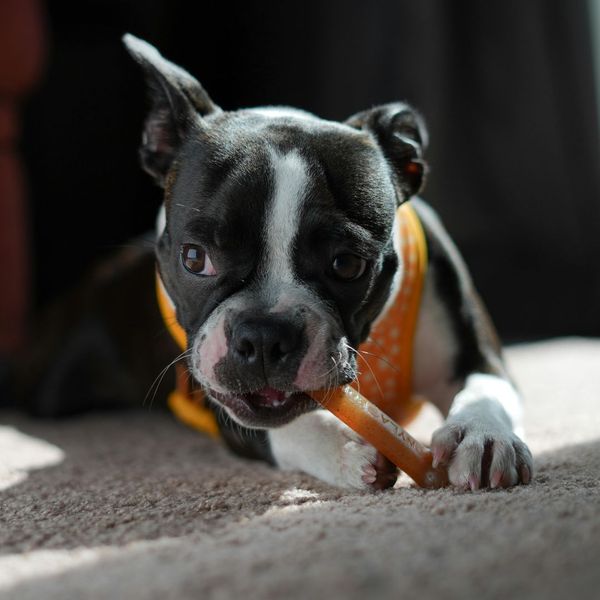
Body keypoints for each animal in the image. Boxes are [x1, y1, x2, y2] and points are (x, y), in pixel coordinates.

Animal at [21, 34, 532, 492]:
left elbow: (489, 388)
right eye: (195, 259)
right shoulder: (220, 397)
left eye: (347, 265)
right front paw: (346, 448)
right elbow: (286, 425)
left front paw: (483, 436)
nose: (264, 336)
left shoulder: (473, 355)